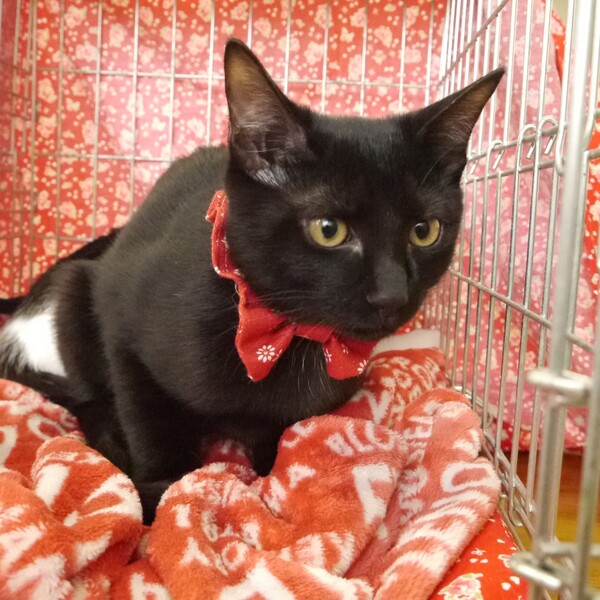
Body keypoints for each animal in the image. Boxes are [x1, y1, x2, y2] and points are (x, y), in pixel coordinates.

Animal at [0, 39, 503, 522]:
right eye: (328, 229)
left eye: (425, 231)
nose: (392, 294)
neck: (285, 336)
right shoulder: (125, 335)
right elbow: (150, 425)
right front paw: (161, 500)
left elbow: (280, 438)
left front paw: (266, 475)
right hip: (75, 293)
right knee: (89, 399)